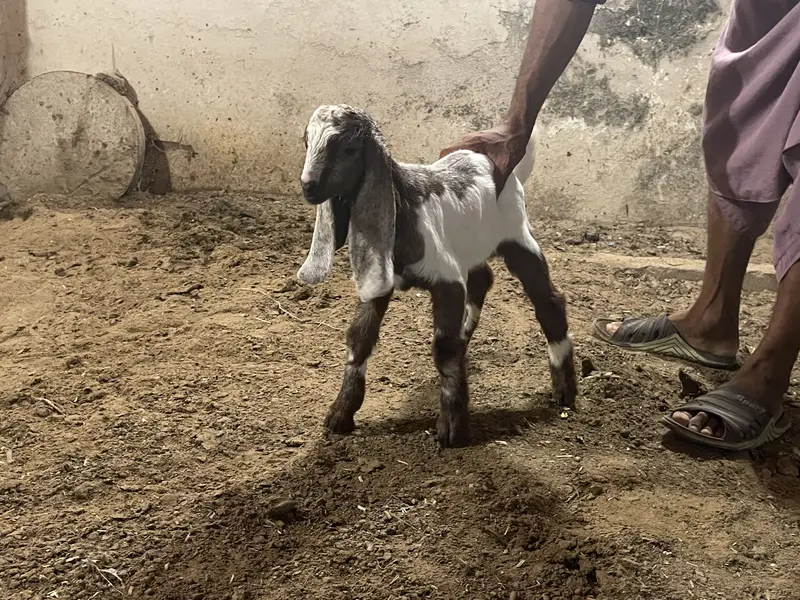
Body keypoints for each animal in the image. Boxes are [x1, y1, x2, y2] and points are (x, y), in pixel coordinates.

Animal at [296, 104, 576, 448]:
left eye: (349, 148)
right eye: (306, 142)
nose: (308, 185)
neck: (404, 204)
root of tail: (489, 161)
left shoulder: (446, 279)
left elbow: (443, 347)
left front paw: (452, 428)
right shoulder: (380, 276)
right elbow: (360, 337)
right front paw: (340, 412)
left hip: (518, 236)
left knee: (548, 301)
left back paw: (564, 390)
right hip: (470, 243)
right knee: (482, 279)